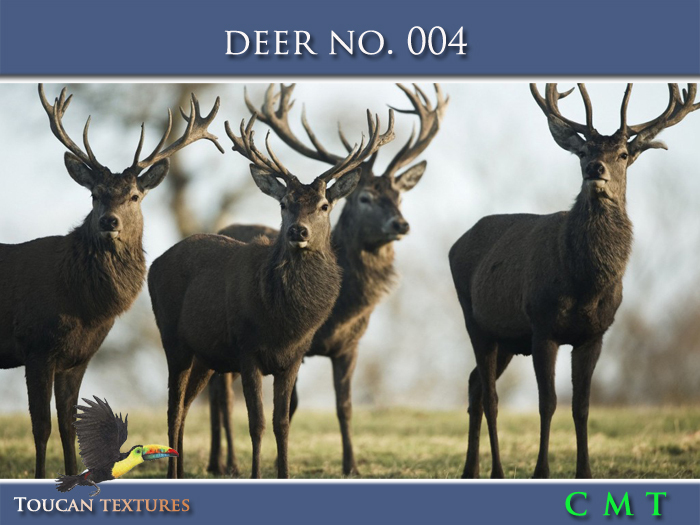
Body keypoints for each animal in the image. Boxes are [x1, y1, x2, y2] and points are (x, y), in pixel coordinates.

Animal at [0, 84, 223, 479]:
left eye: (134, 195)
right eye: (95, 195)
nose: (109, 221)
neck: (83, 306)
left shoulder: (77, 357)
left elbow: (68, 425)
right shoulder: (36, 346)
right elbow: (40, 427)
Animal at [147, 106, 395, 479]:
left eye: (324, 205)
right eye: (284, 203)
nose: (298, 231)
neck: (284, 322)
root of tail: (153, 264)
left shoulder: (293, 357)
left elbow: (283, 422)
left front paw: (285, 472)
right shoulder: (246, 349)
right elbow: (257, 423)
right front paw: (254, 473)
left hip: (205, 356)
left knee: (188, 405)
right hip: (173, 340)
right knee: (174, 408)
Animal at [205, 83, 447, 476]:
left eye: (399, 196)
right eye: (364, 197)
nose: (401, 224)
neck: (343, 311)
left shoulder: (350, 345)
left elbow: (344, 407)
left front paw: (352, 465)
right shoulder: (294, 347)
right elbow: (289, 408)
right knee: (220, 393)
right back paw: (225, 463)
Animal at [449, 83, 700, 479]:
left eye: (624, 153)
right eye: (583, 151)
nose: (596, 168)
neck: (585, 285)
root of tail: (455, 245)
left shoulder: (594, 334)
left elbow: (582, 406)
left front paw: (585, 471)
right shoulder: (542, 327)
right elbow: (547, 403)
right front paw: (541, 471)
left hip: (507, 338)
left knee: (475, 384)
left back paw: (470, 470)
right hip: (476, 321)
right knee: (490, 396)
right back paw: (496, 471)